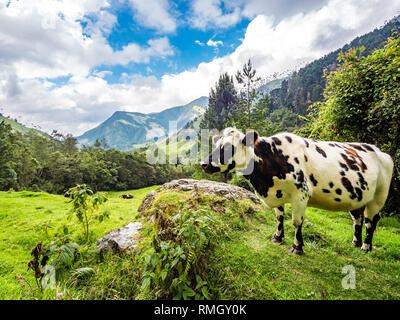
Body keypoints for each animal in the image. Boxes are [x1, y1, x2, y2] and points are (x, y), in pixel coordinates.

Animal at [202, 127, 392, 255]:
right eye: (216, 145)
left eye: (228, 147)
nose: (203, 164)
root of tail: (381, 152)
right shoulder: (277, 193)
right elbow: (279, 217)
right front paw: (277, 237)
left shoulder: (302, 193)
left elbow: (296, 222)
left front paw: (297, 247)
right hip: (358, 196)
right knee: (357, 218)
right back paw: (355, 242)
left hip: (379, 197)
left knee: (371, 221)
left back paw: (365, 246)